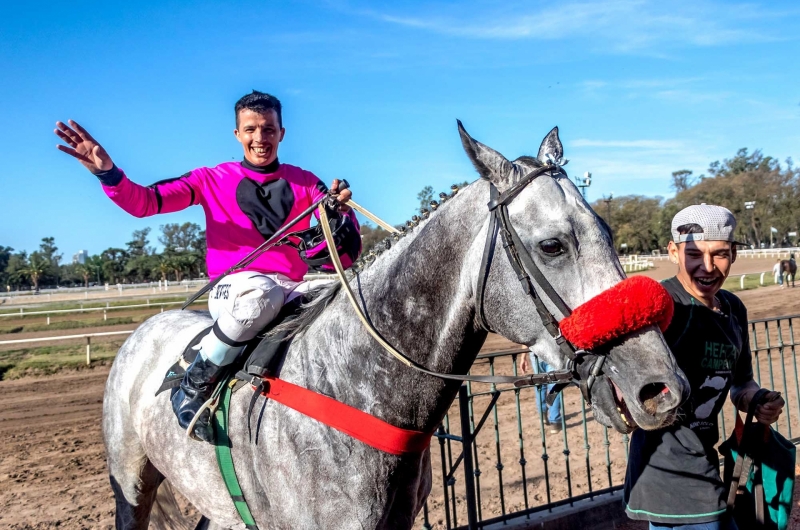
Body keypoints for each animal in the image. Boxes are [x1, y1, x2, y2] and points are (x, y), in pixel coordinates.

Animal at [103, 121, 692, 524]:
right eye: (552, 245)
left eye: (609, 233)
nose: (661, 387)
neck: (351, 388)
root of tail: (145, 329)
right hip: (131, 483)